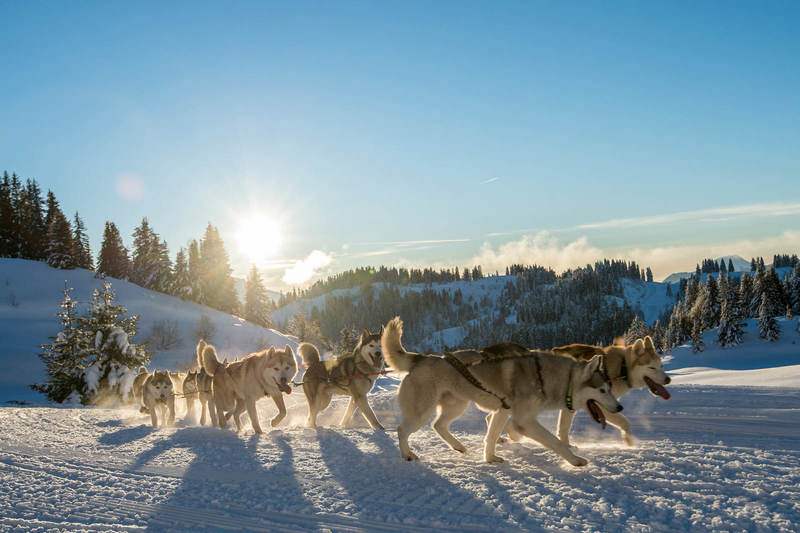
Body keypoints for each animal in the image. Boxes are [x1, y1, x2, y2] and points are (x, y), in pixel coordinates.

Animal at [382, 318, 624, 464]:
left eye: (609, 388)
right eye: (602, 390)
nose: (620, 407)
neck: (544, 376)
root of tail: (422, 358)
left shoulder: (502, 412)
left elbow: (491, 437)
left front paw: (490, 458)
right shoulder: (523, 420)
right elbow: (555, 442)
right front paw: (575, 460)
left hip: (456, 406)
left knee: (438, 425)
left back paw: (458, 446)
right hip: (422, 412)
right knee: (402, 430)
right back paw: (407, 454)